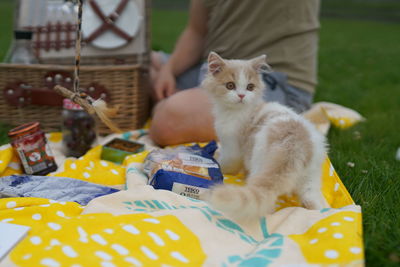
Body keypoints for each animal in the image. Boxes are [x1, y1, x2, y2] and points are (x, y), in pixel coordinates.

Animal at [203, 51, 328, 220]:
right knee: (312, 200)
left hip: (259, 161)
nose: (241, 95)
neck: (239, 111)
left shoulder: (232, 146)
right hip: (311, 175)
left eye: (250, 87)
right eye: (230, 85)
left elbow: (227, 162)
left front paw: (216, 161)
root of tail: (296, 144)